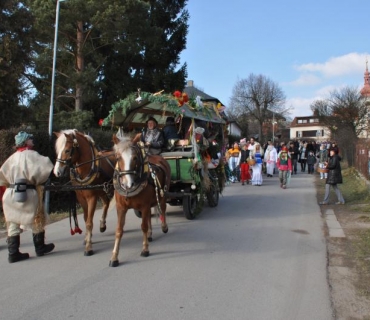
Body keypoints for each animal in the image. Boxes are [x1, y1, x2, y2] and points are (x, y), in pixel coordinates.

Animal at [109, 134, 171, 266]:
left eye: (135, 158)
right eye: (117, 157)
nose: (128, 184)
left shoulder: (144, 205)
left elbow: (143, 226)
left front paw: (145, 249)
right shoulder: (121, 208)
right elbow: (119, 230)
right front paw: (114, 257)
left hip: (163, 193)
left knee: (162, 208)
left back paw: (164, 227)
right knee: (149, 217)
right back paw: (150, 235)